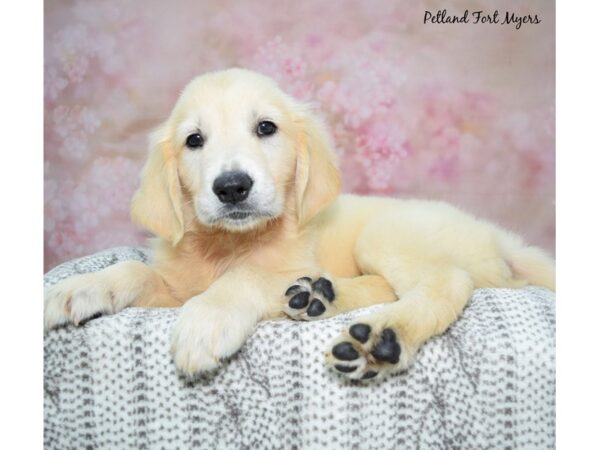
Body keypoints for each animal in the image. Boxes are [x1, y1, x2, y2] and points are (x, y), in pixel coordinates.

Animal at [44, 68, 556, 382]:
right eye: (194, 140)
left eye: (266, 128)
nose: (232, 187)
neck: (229, 244)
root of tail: (496, 235)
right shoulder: (174, 288)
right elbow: (136, 270)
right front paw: (78, 289)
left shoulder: (276, 266)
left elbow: (246, 277)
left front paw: (207, 318)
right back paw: (317, 296)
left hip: (387, 234)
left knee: (447, 282)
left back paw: (381, 338)